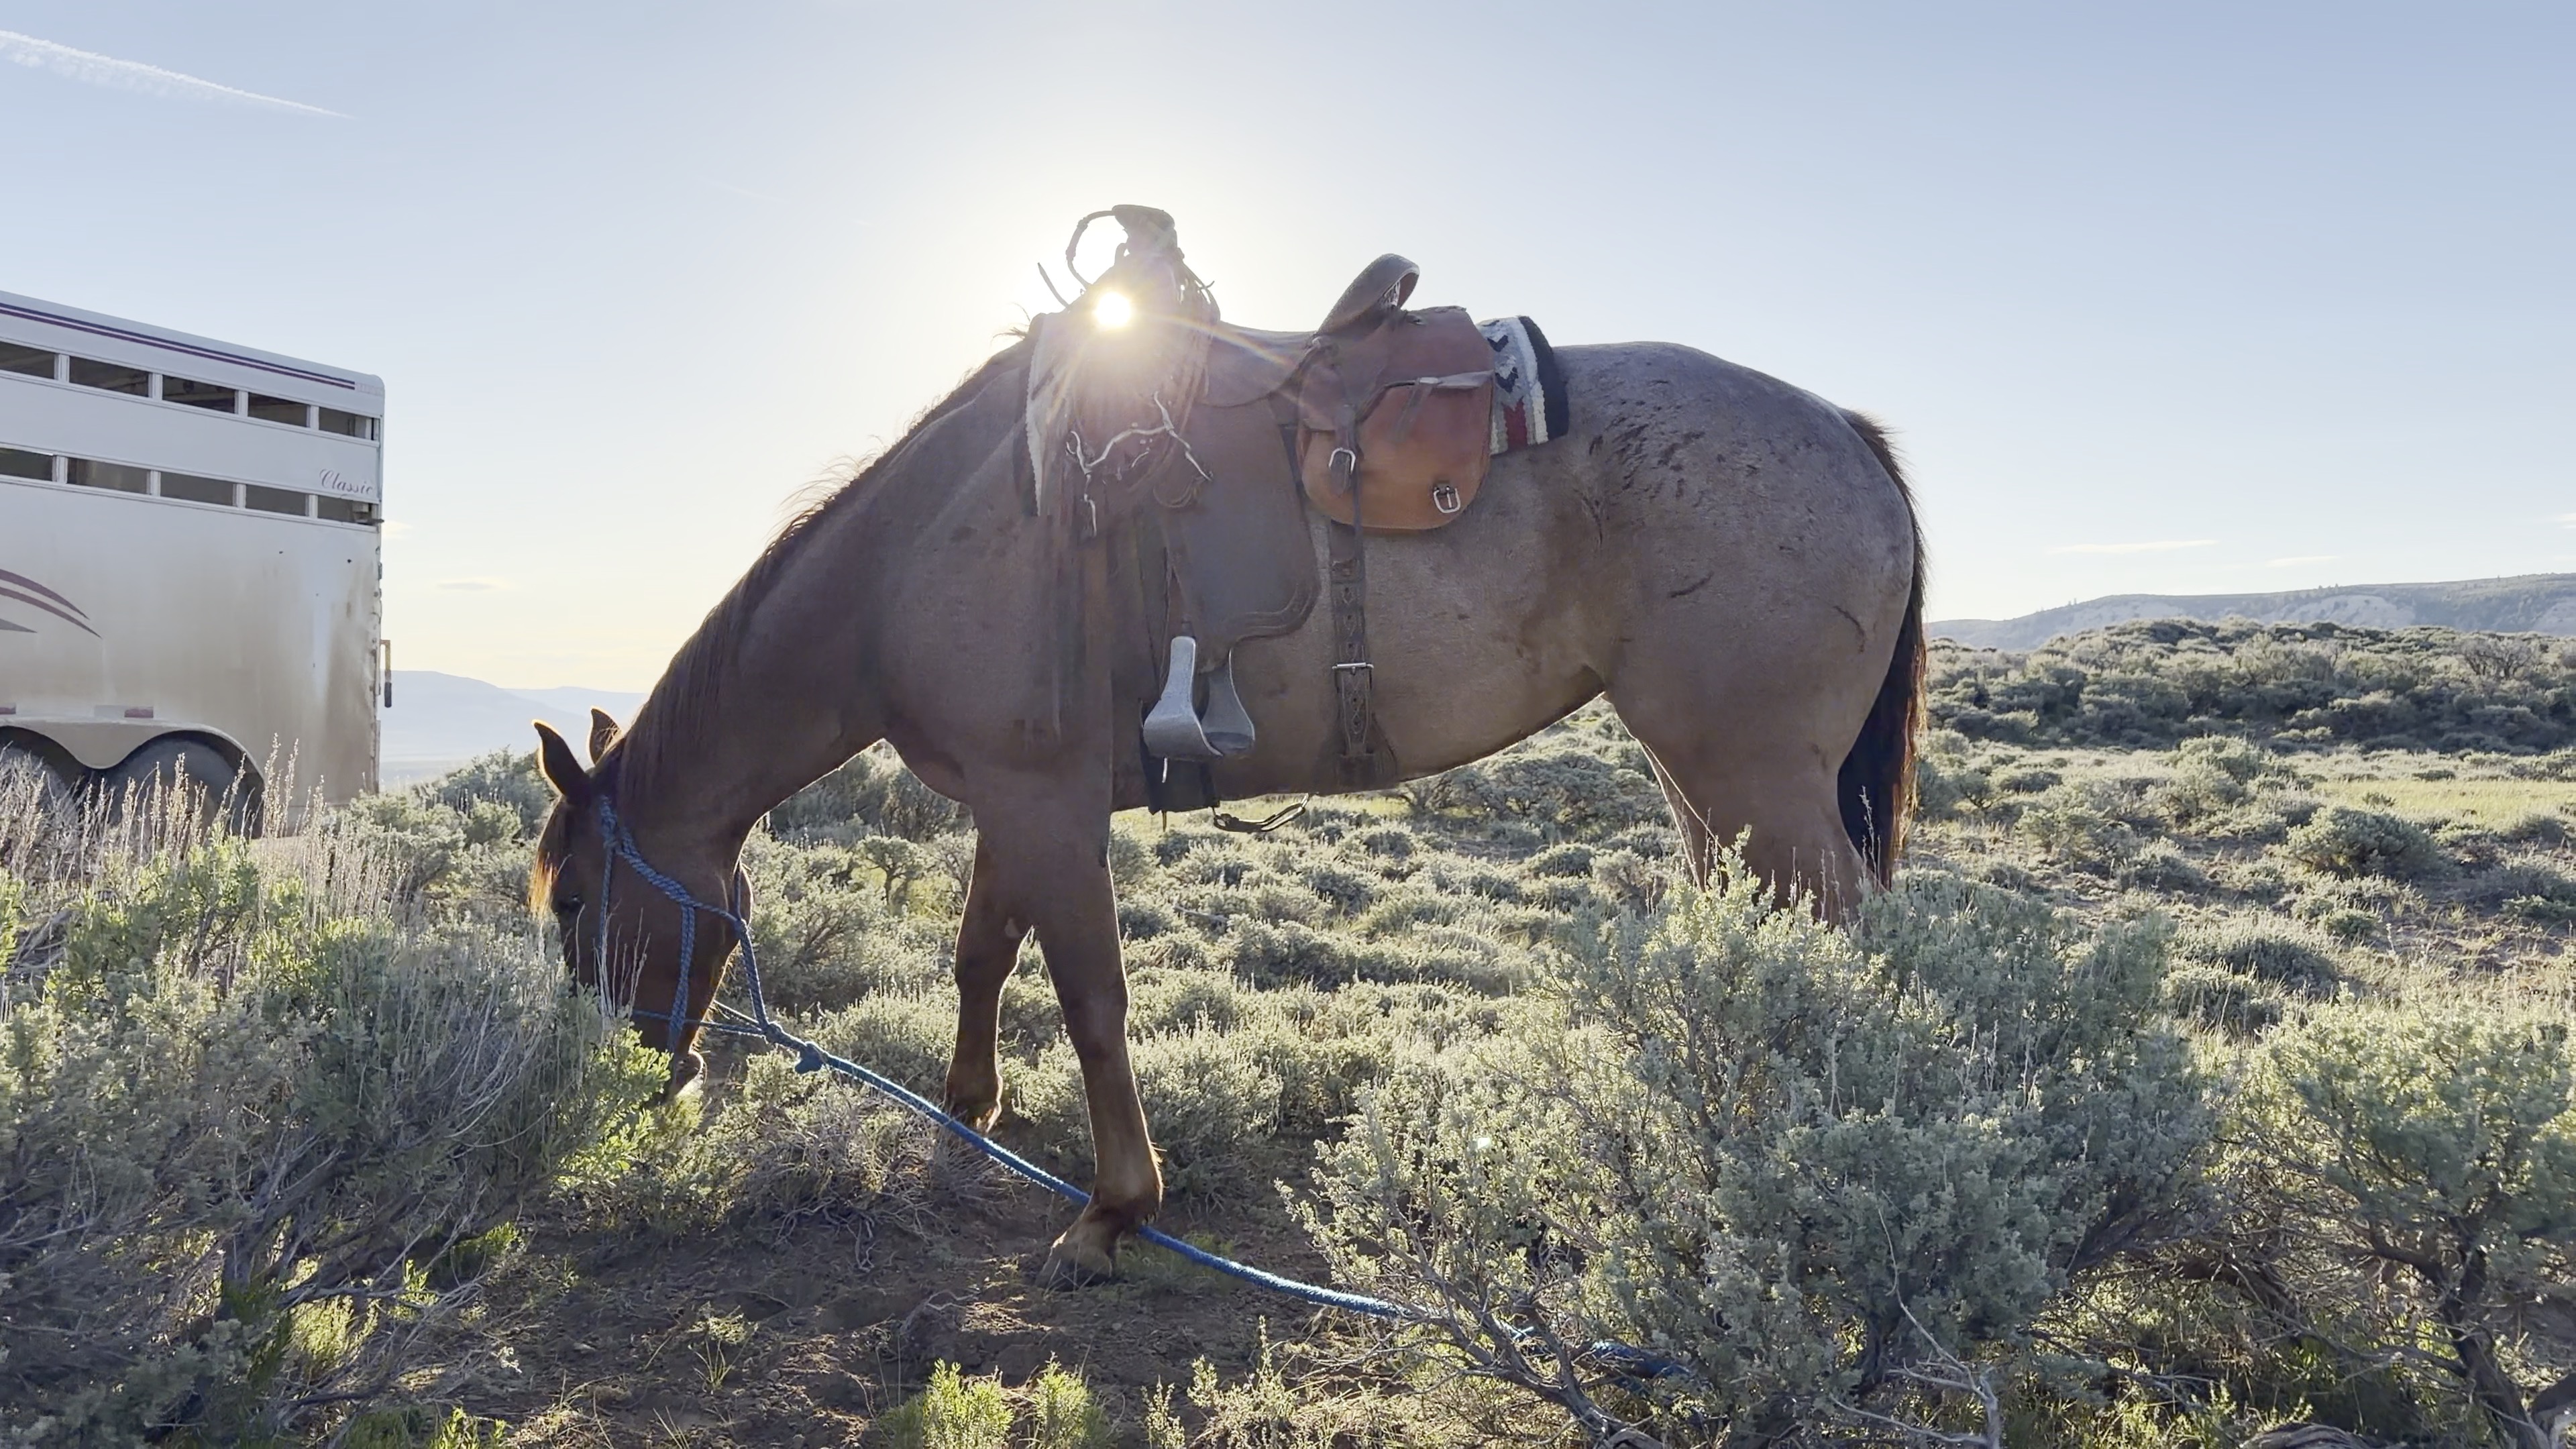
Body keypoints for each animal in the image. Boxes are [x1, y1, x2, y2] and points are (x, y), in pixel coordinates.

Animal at [529, 319, 1925, 1284]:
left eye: (576, 900)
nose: (635, 1074)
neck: (924, 551)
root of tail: (1846, 432)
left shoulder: (1045, 803)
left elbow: (1091, 998)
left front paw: (1109, 1216)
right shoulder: (1013, 799)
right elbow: (983, 954)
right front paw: (967, 1118)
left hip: (1757, 784)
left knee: (1847, 953)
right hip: (1708, 789)